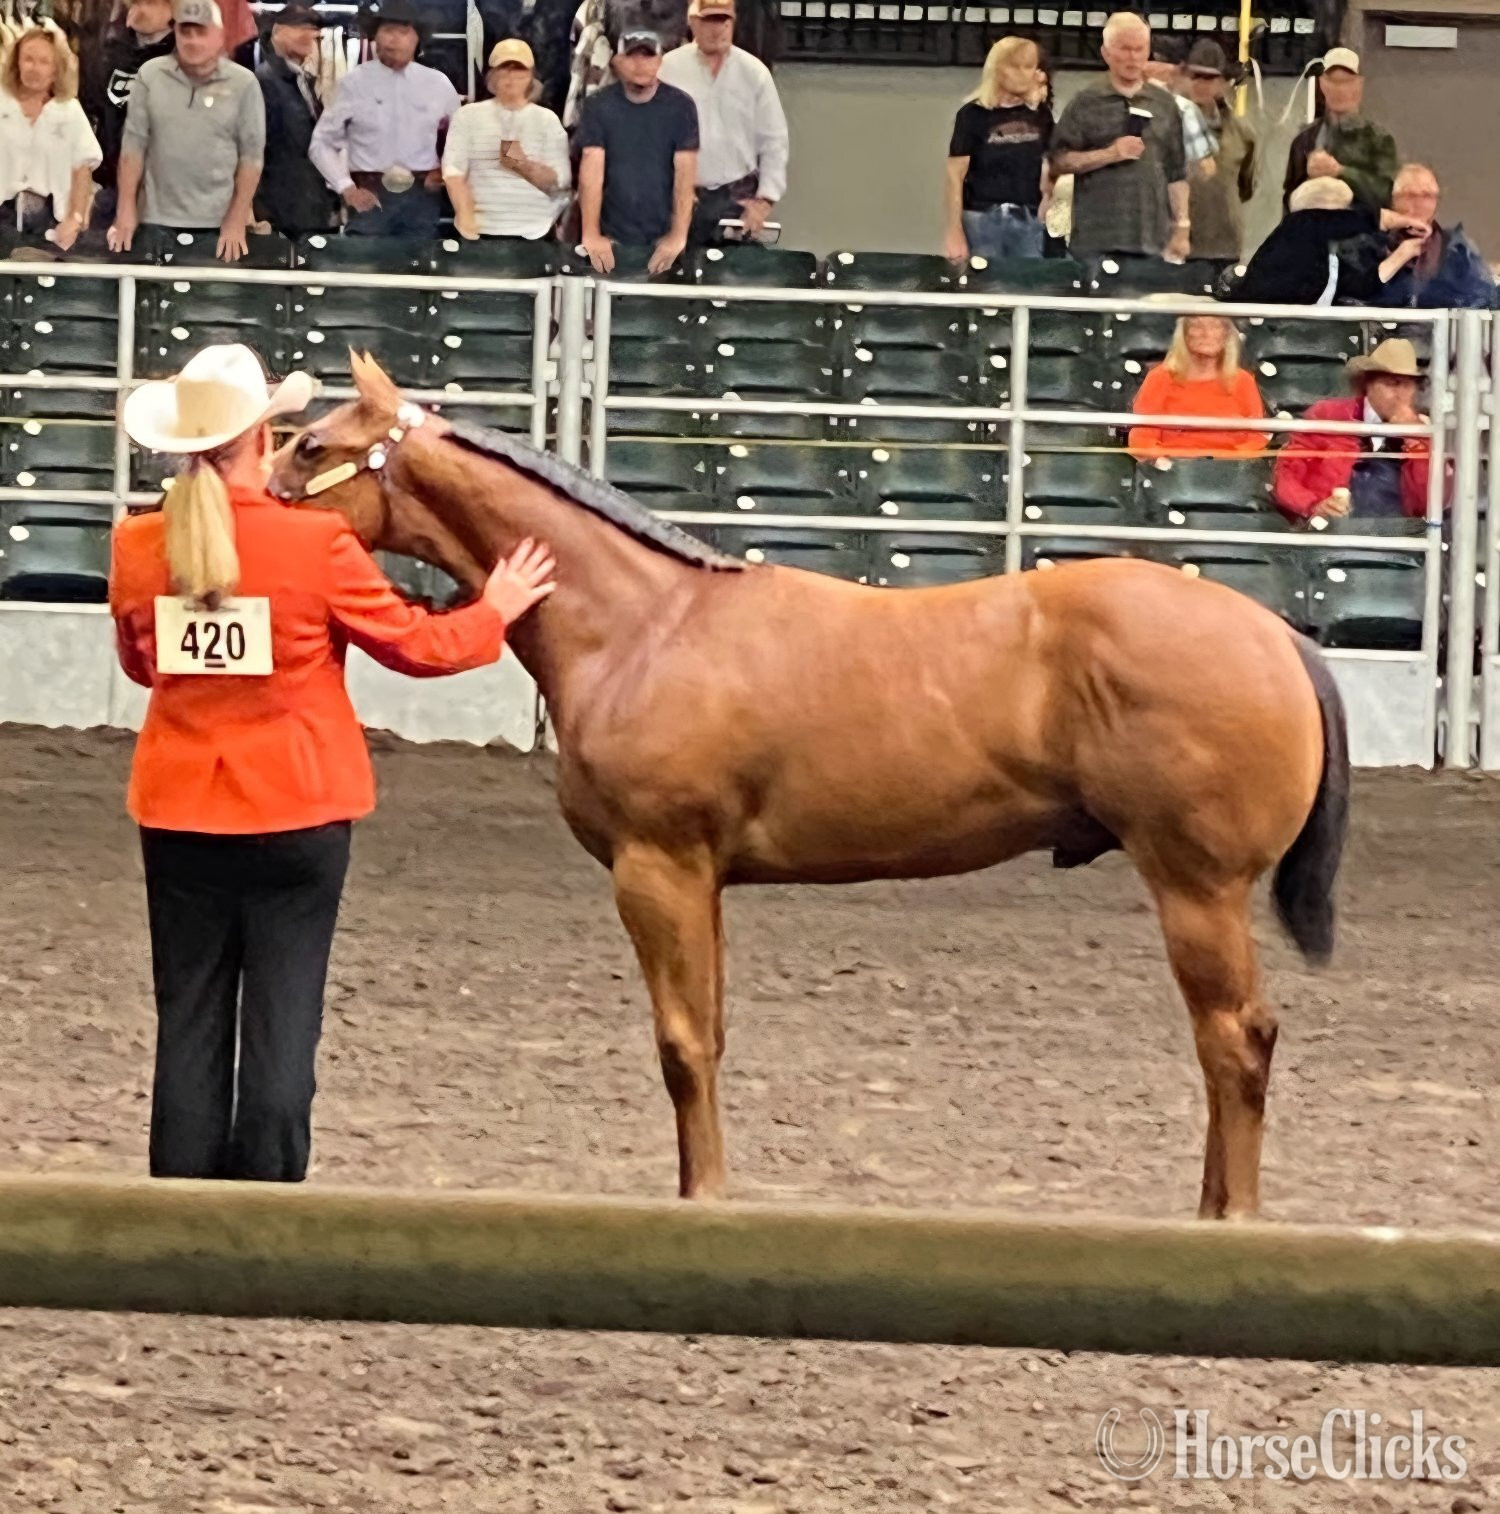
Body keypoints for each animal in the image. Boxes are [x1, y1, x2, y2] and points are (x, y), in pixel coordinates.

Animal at [267, 353, 1350, 1220]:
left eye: (312, 444)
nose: (247, 504)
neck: (646, 623)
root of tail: (1274, 634)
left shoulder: (656, 868)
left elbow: (681, 1044)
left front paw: (705, 1196)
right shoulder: (700, 880)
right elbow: (709, 1035)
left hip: (1196, 889)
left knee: (1235, 1041)